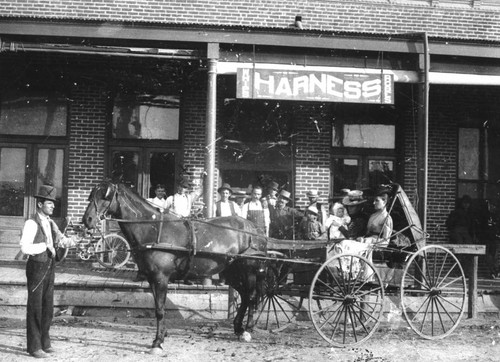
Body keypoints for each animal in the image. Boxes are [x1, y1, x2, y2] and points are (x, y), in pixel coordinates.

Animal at [81, 181, 268, 354]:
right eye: (91, 195)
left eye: (105, 196)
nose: (87, 220)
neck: (152, 228)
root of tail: (254, 229)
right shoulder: (152, 278)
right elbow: (158, 308)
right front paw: (161, 336)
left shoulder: (161, 278)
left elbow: (160, 310)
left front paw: (157, 342)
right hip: (232, 273)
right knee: (244, 296)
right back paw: (238, 327)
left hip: (248, 271)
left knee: (251, 296)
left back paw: (247, 330)